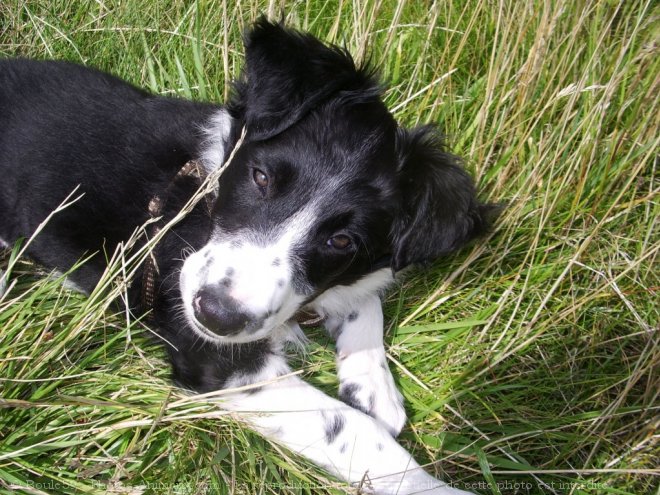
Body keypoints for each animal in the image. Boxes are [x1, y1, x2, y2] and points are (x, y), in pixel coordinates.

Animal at [0, 18, 490, 495]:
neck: (205, 189)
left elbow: (361, 297)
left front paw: (372, 383)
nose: (215, 315)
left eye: (342, 241)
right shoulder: (221, 360)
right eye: (261, 177)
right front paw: (427, 484)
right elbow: (349, 428)